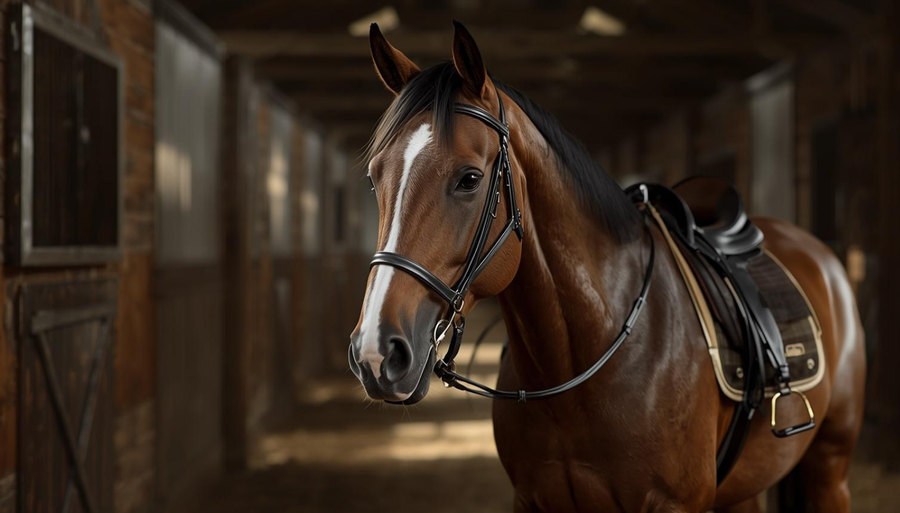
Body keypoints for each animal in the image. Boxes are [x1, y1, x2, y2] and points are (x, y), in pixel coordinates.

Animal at [348, 21, 866, 512]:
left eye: (470, 179)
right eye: (374, 179)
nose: (376, 352)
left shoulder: (675, 503)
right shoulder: (531, 500)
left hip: (830, 469)